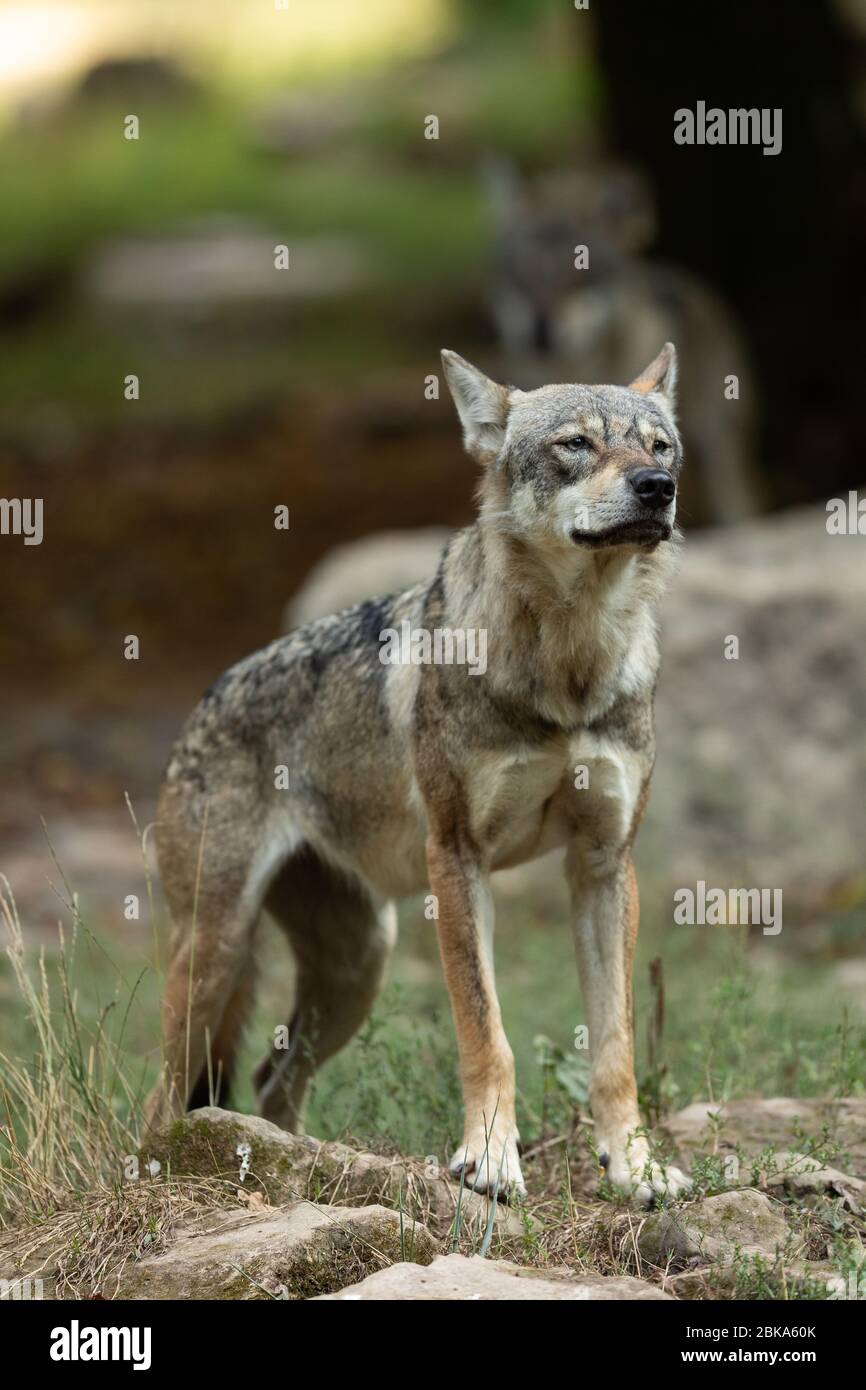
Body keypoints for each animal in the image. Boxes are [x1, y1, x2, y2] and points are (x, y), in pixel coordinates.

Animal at [146, 344, 692, 1204]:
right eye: (576, 444)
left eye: (660, 448)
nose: (656, 488)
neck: (567, 666)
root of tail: (205, 698)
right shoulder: (456, 858)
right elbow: (485, 1029)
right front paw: (489, 1160)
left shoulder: (604, 866)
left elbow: (615, 1048)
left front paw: (633, 1166)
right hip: (216, 954)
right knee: (163, 1097)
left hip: (358, 965)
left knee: (270, 1081)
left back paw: (298, 1161)